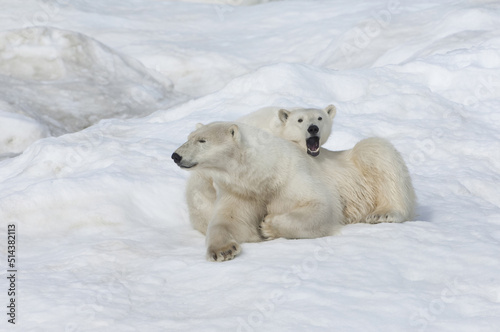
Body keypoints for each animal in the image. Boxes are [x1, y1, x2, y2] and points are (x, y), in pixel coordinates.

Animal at [172, 122, 344, 262]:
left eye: (202, 140)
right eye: (189, 138)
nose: (175, 156)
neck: (266, 176)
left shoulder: (292, 176)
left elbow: (322, 206)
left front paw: (267, 226)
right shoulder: (241, 192)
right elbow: (230, 221)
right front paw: (223, 251)